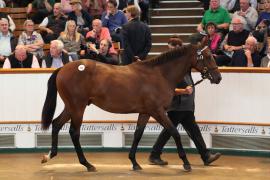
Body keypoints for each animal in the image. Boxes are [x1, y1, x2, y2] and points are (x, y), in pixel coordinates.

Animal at [40, 39, 221, 172]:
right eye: (207, 56)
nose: (218, 77)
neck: (159, 74)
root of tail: (63, 68)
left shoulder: (146, 112)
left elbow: (137, 135)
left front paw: (134, 162)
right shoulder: (158, 111)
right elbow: (174, 132)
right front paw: (186, 163)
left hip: (71, 106)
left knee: (56, 124)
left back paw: (50, 155)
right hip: (78, 107)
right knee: (74, 132)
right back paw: (87, 164)